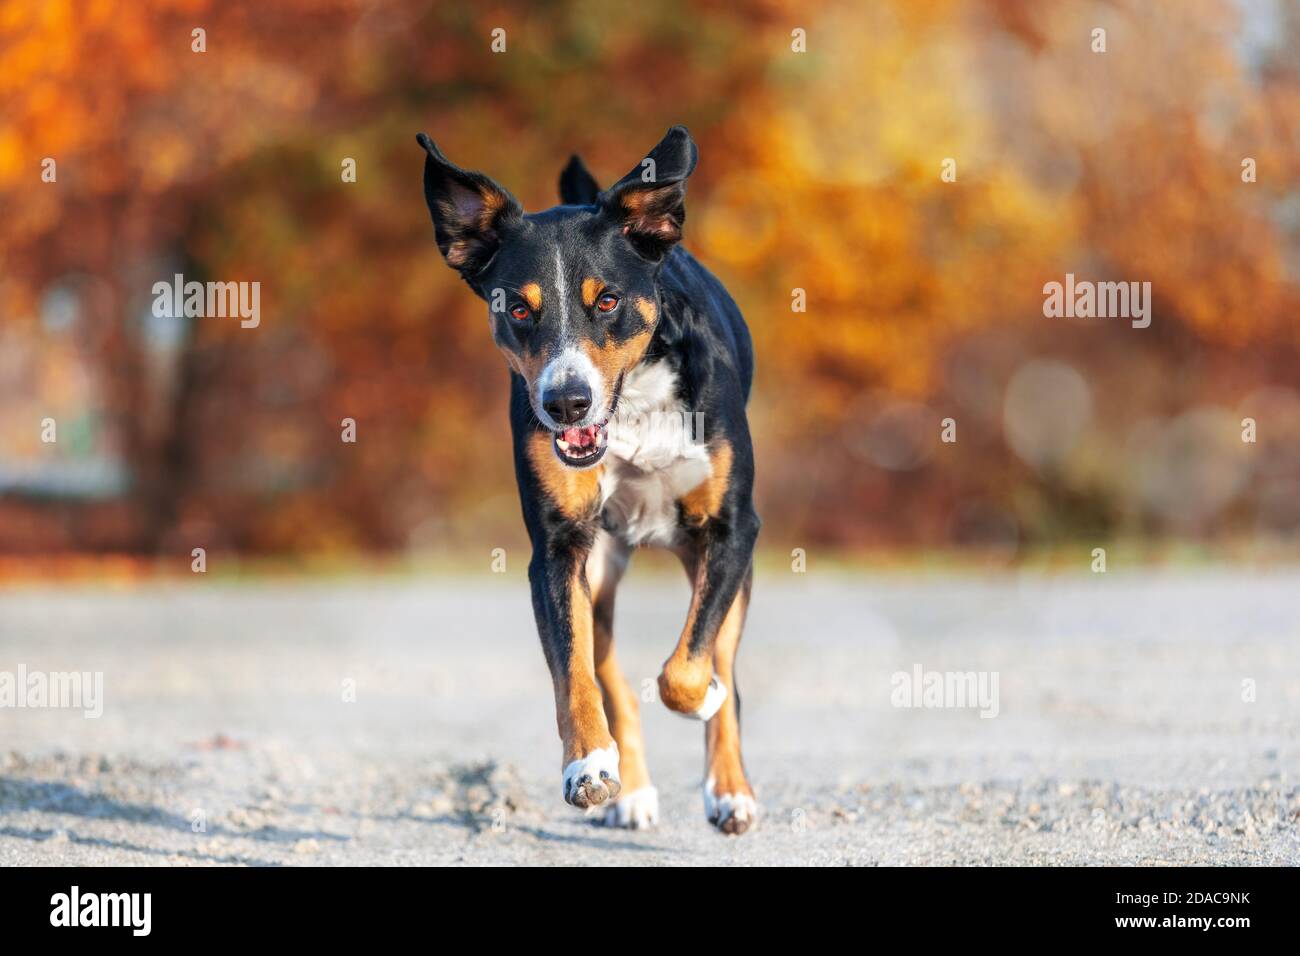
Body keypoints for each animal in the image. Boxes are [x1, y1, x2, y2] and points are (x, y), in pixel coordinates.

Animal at [416, 128, 759, 837]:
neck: (634, 410)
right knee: (609, 674)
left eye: (607, 300)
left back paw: (730, 791)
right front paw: (590, 767)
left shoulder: (733, 530)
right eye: (519, 308)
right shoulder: (558, 549)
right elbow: (574, 672)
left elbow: (691, 667)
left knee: (721, 664)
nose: (566, 403)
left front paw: (704, 701)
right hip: (599, 567)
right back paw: (630, 787)